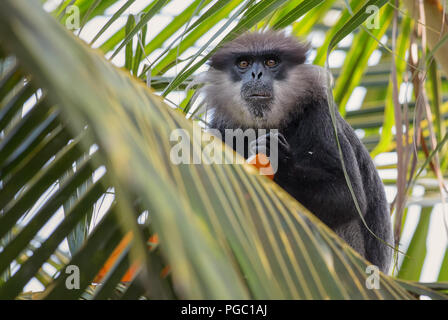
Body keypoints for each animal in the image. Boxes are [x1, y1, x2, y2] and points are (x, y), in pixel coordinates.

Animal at [200, 30, 392, 272]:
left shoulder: (320, 113)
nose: (256, 74)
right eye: (243, 63)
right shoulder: (221, 123)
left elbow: (348, 196)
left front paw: (278, 160)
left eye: (271, 62)